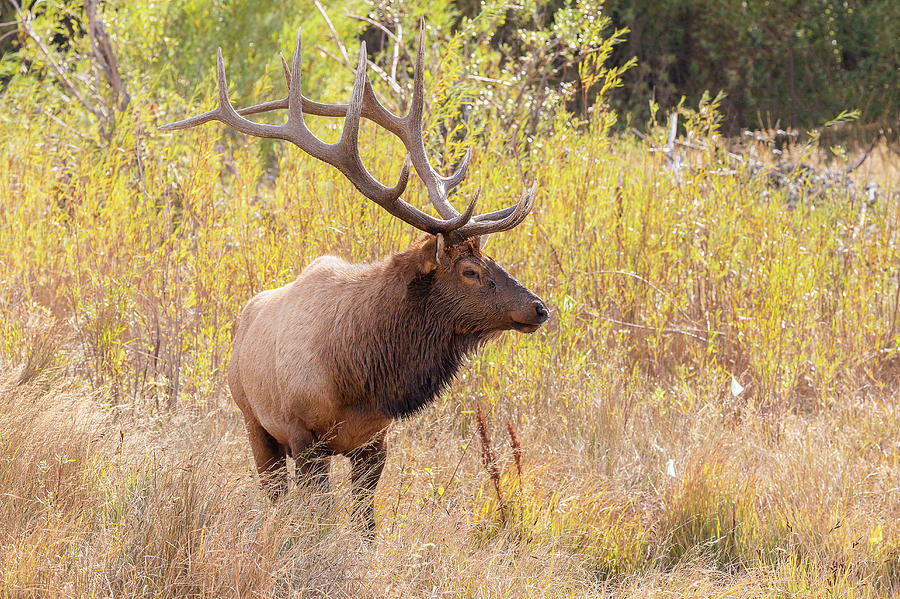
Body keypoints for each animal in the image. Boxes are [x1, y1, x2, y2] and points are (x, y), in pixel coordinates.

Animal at [162, 24, 548, 528]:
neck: (361, 377)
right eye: (468, 270)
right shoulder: (303, 434)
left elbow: (367, 523)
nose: (539, 308)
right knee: (274, 496)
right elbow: (319, 518)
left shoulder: (374, 440)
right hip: (253, 422)